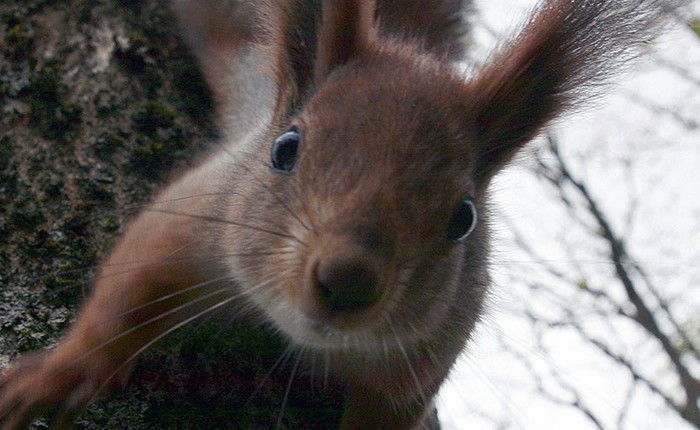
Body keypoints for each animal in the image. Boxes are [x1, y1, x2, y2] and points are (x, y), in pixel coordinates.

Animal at [0, 0, 688, 428]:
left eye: (465, 217)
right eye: (285, 149)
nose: (348, 282)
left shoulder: (419, 359)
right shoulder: (198, 215)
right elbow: (128, 292)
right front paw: (51, 377)